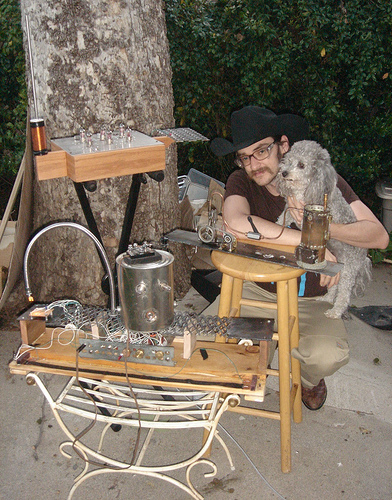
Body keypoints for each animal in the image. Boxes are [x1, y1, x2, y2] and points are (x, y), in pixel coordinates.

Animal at [274, 139, 372, 318]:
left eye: (301, 165)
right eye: (289, 160)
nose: (284, 173)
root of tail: (364, 255)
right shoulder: (291, 210)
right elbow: (282, 218)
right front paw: (274, 228)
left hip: (349, 268)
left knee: (344, 293)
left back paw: (335, 312)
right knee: (335, 286)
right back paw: (326, 298)